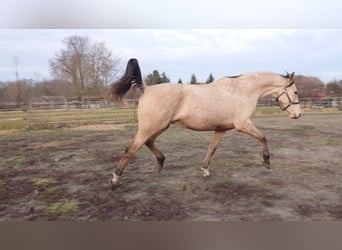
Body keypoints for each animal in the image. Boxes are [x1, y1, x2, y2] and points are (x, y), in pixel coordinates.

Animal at [110, 58, 302, 188]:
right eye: (295, 92)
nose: (298, 115)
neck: (243, 91)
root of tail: (146, 88)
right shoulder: (243, 125)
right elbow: (263, 137)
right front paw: (266, 161)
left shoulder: (221, 129)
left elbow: (212, 148)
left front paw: (205, 170)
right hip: (150, 127)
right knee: (131, 149)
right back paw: (115, 178)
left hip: (161, 126)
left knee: (148, 142)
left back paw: (160, 163)